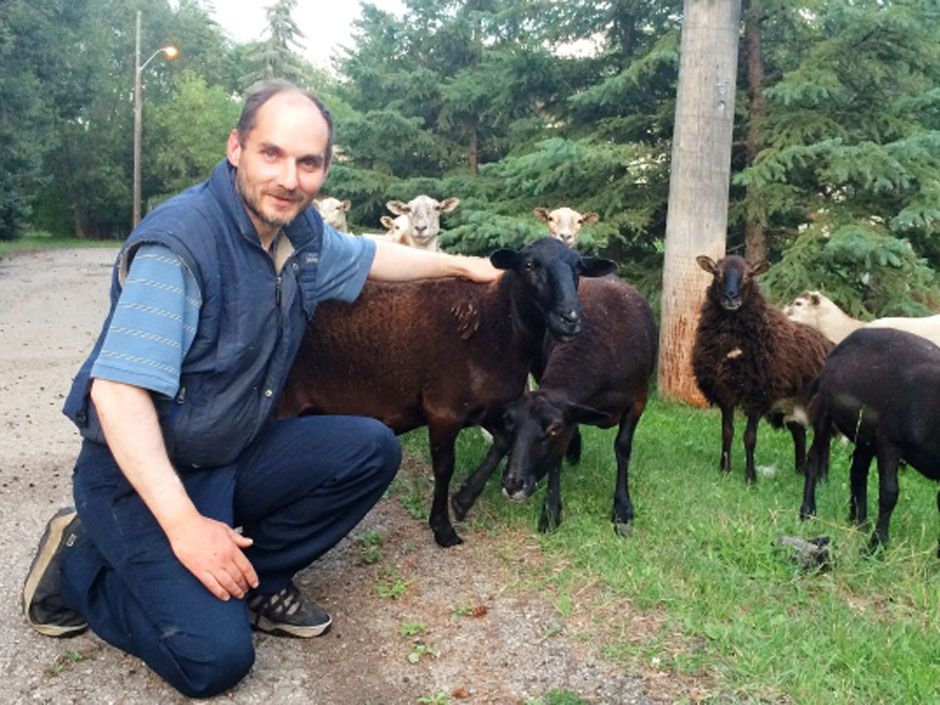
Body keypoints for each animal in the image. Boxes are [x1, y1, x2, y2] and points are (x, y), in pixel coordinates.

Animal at [276, 239, 620, 548]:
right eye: (529, 265)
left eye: (578, 268)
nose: (570, 318)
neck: (495, 329)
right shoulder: (444, 410)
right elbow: (444, 468)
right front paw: (442, 528)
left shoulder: (491, 407)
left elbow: (504, 441)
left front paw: (464, 499)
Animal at [452, 276, 656, 532]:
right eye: (510, 423)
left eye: (553, 429)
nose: (513, 485)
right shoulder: (570, 410)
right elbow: (556, 457)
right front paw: (550, 512)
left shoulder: (638, 400)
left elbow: (623, 448)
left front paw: (622, 509)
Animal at [692, 254, 828, 484]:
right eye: (717, 273)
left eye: (749, 275)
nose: (730, 297)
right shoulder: (725, 393)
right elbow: (727, 432)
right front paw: (725, 469)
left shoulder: (758, 395)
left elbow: (750, 438)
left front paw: (750, 477)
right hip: (789, 404)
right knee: (799, 432)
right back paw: (800, 470)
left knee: (823, 438)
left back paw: (822, 477)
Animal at [796, 326, 940, 556]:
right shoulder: (889, 442)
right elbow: (889, 493)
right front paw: (877, 545)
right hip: (824, 413)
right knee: (813, 461)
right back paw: (808, 512)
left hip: (865, 434)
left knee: (857, 470)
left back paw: (859, 522)